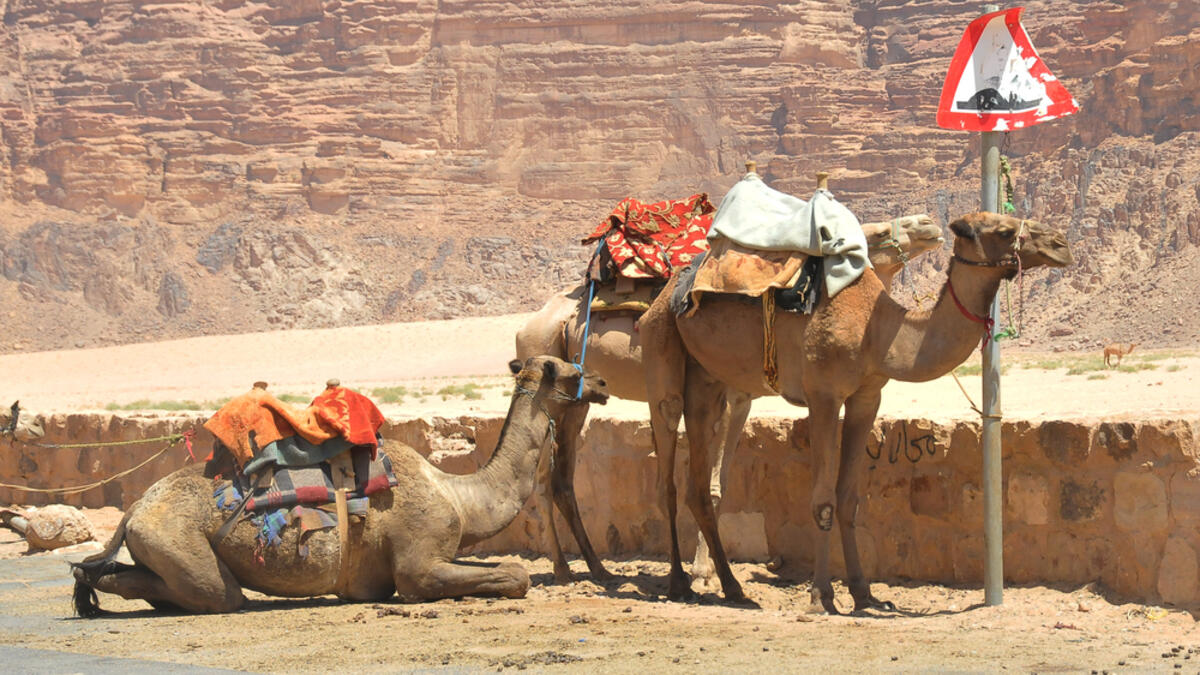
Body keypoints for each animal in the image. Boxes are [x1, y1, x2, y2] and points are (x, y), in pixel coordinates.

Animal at [70, 356, 608, 614]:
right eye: (573, 370)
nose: (602, 383)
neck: (460, 497)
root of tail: (133, 511)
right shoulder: (417, 564)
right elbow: (514, 575)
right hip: (180, 544)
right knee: (215, 594)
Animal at [514, 215, 944, 584]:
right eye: (874, 234)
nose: (929, 225)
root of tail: (532, 323)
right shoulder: (727, 392)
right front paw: (703, 572)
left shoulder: (741, 398)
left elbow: (719, 483)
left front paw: (705, 570)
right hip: (544, 364)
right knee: (541, 479)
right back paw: (562, 569)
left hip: (578, 399)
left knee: (561, 479)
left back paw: (598, 568)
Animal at [640, 212, 1072, 613]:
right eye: (1004, 229)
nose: (1062, 244)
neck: (876, 331)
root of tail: (674, 285)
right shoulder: (823, 395)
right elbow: (822, 500)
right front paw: (821, 595)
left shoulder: (867, 396)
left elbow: (849, 498)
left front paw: (865, 593)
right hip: (662, 353)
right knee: (669, 472)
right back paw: (682, 583)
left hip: (710, 380)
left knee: (697, 485)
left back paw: (730, 587)